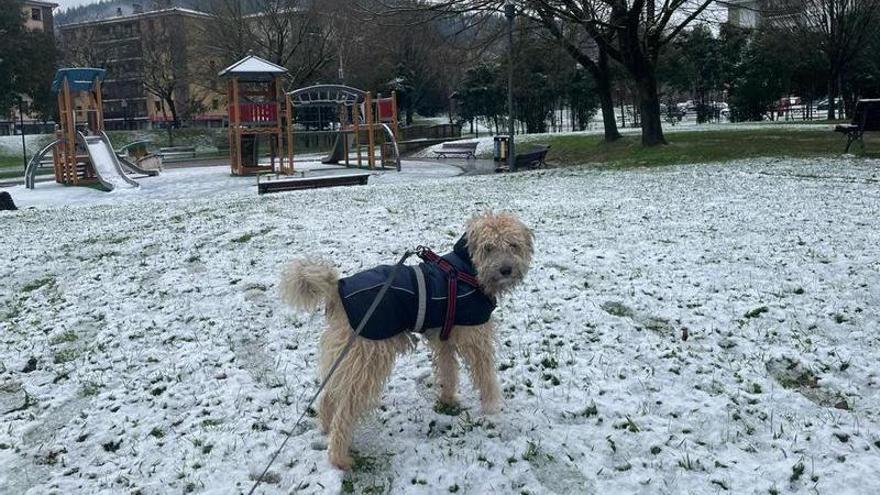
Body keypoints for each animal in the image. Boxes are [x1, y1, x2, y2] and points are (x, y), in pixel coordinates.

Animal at [278, 212, 532, 468]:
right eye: (488, 248)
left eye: (513, 245)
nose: (506, 270)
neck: (465, 270)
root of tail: (337, 288)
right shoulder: (476, 340)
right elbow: (486, 376)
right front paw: (493, 409)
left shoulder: (445, 340)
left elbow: (448, 372)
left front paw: (448, 400)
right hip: (366, 361)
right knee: (346, 408)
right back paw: (340, 457)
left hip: (344, 356)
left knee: (329, 393)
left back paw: (325, 427)